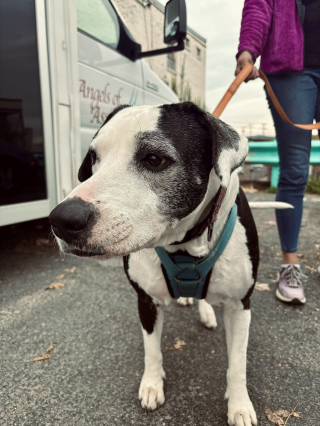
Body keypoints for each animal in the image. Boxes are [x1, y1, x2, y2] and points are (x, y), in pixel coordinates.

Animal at [50, 102, 270, 422]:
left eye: (154, 159)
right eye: (93, 159)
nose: (62, 220)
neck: (185, 244)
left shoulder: (240, 305)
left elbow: (237, 364)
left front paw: (239, 406)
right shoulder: (147, 299)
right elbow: (152, 350)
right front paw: (152, 385)